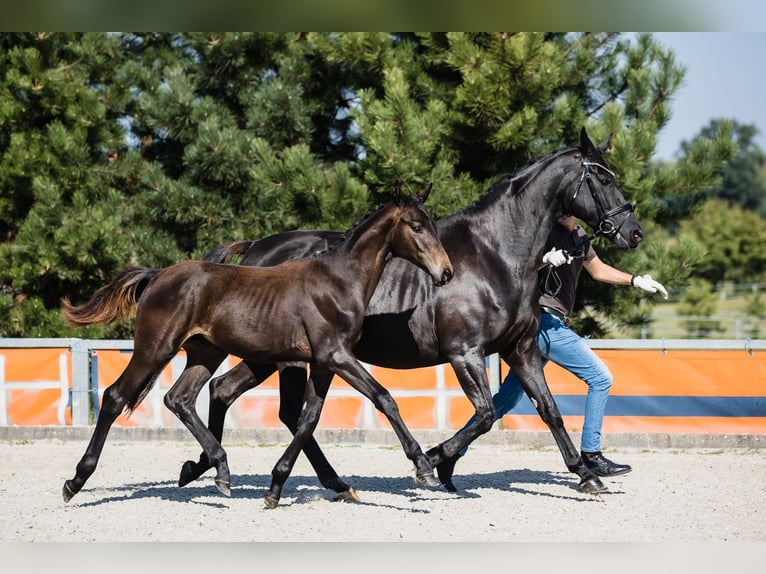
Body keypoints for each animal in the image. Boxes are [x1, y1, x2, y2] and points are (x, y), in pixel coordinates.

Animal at [60, 185, 454, 508]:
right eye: (417, 227)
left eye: (433, 226)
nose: (446, 273)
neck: (338, 282)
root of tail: (157, 276)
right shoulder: (337, 355)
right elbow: (384, 398)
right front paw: (424, 467)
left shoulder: (324, 362)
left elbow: (308, 419)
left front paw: (277, 488)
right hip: (155, 348)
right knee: (115, 397)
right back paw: (75, 481)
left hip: (205, 353)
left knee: (181, 398)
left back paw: (218, 470)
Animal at [178, 127, 644, 498]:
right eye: (602, 177)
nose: (633, 232)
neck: (495, 254)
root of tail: (254, 249)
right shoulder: (464, 352)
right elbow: (485, 414)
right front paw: (435, 460)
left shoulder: (523, 350)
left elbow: (548, 410)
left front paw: (587, 474)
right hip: (285, 359)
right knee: (279, 409)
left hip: (269, 358)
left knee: (227, 392)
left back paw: (217, 468)